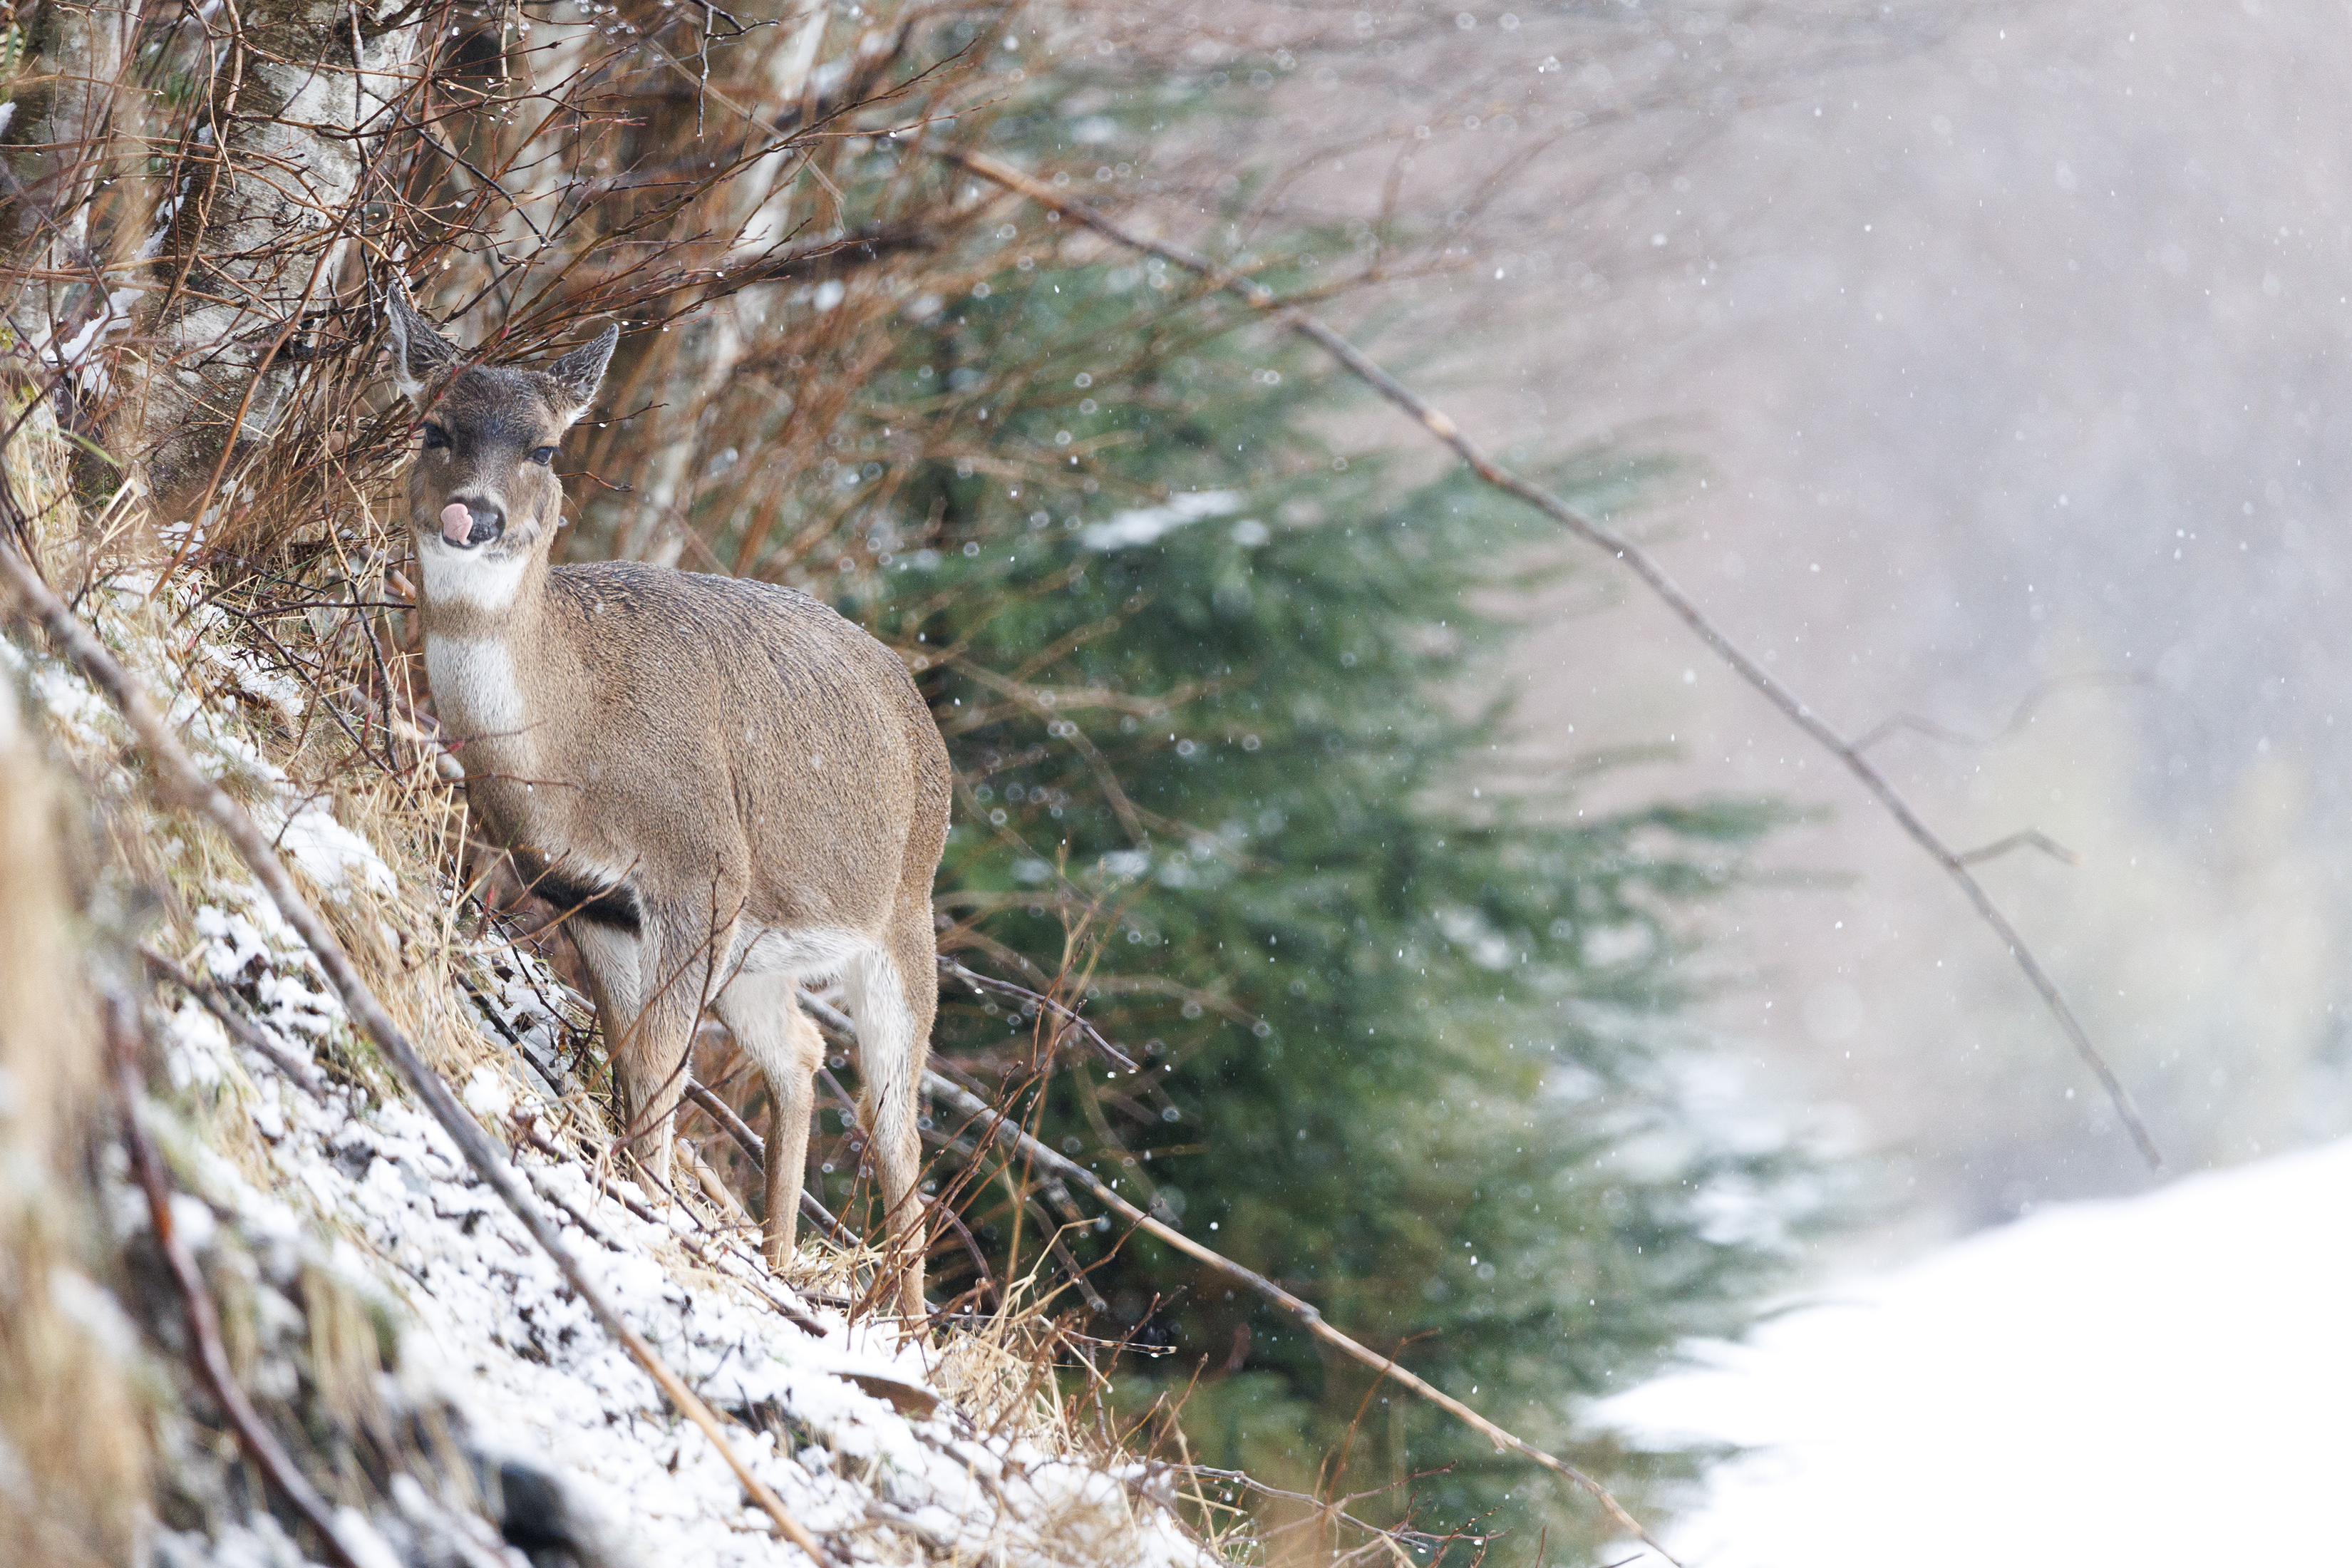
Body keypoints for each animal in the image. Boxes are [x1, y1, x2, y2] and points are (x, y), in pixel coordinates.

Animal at [385, 289, 952, 1319]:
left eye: (545, 449)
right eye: (434, 428)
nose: (471, 513)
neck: (572, 740)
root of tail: (918, 707)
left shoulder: (702, 862)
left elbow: (659, 1060)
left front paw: (643, 1204)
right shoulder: (589, 895)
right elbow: (636, 1056)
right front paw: (636, 1184)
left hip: (899, 917)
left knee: (897, 1123)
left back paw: (906, 1327)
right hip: (763, 949)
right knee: (801, 1054)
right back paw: (777, 1256)